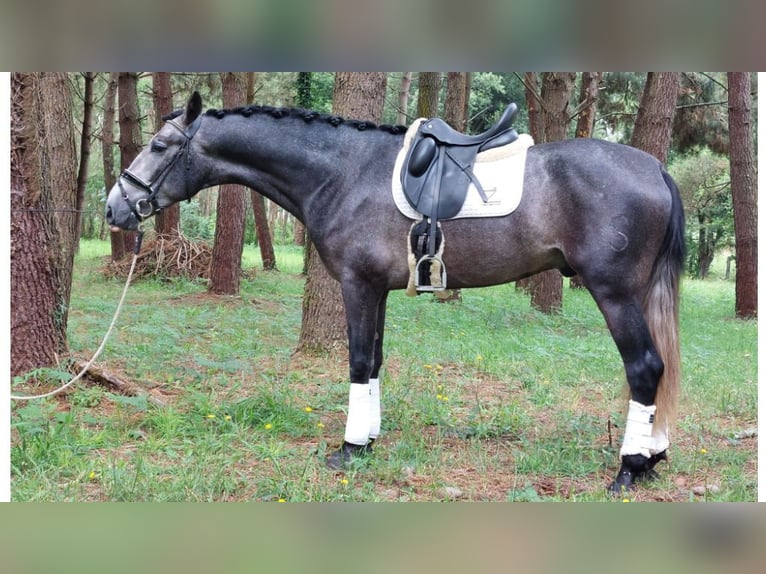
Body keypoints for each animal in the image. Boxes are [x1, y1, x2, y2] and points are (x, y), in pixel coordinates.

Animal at [105, 92, 688, 492]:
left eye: (159, 145)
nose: (114, 208)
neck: (343, 172)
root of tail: (656, 168)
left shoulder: (357, 285)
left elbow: (359, 361)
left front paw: (347, 447)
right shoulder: (378, 290)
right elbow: (377, 361)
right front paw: (368, 439)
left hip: (615, 293)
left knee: (645, 368)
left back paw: (629, 468)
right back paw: (653, 456)